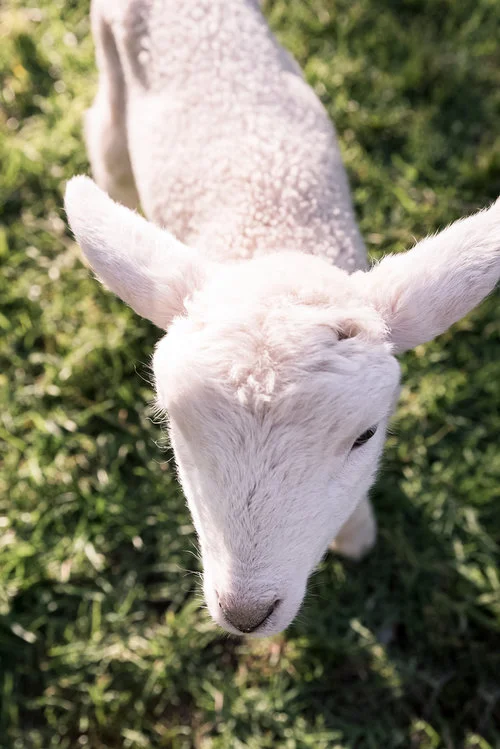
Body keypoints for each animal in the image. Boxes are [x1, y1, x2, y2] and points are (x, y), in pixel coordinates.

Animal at [64, 0, 500, 637]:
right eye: (173, 425)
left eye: (366, 435)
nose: (245, 613)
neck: (272, 228)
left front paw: (356, 534)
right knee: (109, 144)